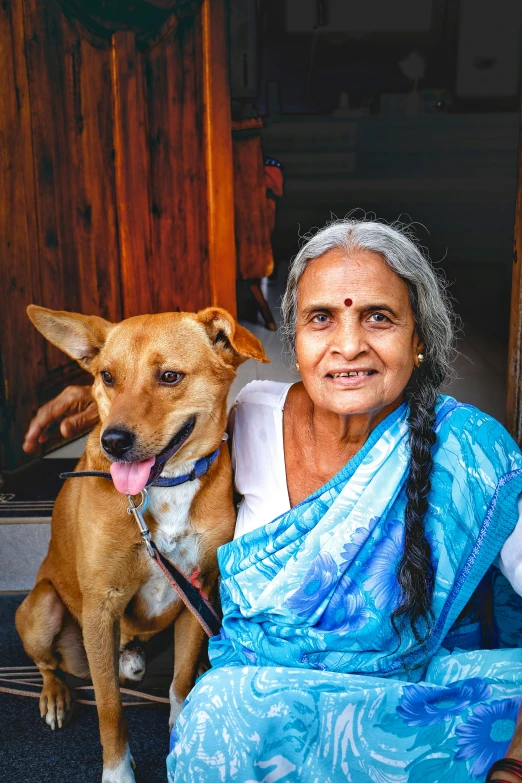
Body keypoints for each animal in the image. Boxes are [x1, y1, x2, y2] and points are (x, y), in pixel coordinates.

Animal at [15, 304, 268, 783]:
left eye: (169, 377)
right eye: (107, 376)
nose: (113, 441)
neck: (164, 487)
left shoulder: (197, 589)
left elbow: (180, 681)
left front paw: (183, 731)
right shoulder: (101, 607)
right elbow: (110, 710)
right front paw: (118, 772)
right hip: (42, 608)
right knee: (49, 665)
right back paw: (55, 695)